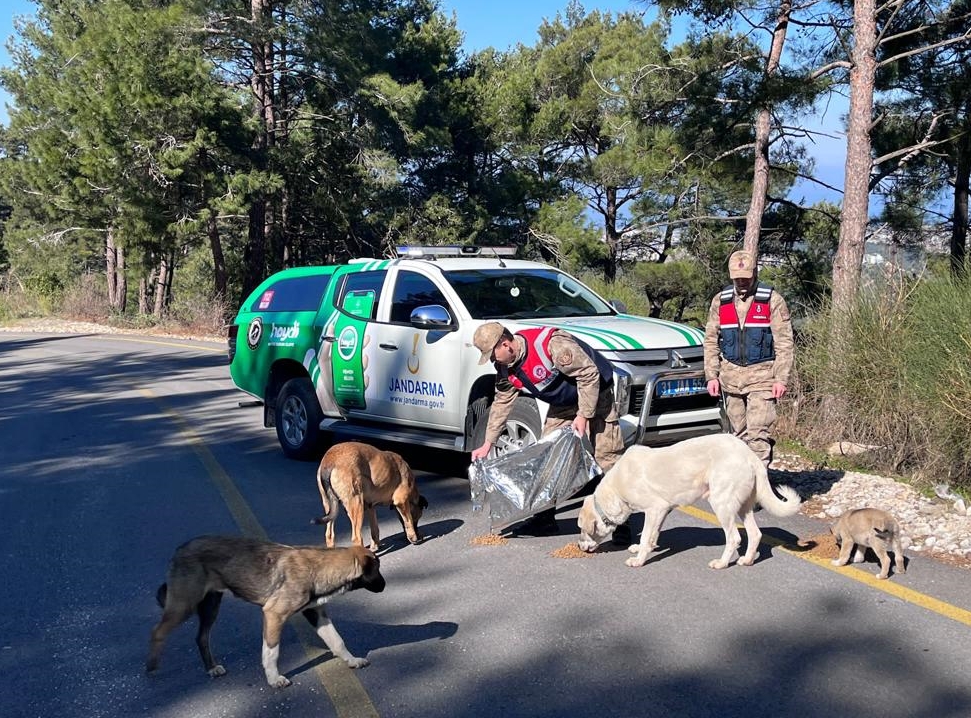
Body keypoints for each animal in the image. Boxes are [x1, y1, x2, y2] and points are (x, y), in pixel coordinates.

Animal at [148, 536, 384, 688]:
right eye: (378, 569)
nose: (384, 586)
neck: (320, 568)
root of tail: (179, 549)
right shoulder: (274, 614)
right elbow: (271, 651)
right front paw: (273, 679)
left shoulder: (316, 613)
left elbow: (337, 640)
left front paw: (352, 660)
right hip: (184, 604)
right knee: (157, 632)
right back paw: (152, 667)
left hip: (211, 605)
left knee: (201, 637)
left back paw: (212, 668)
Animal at [580, 436, 800, 572]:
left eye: (582, 529)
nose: (580, 547)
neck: (616, 488)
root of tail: (750, 455)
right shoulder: (663, 511)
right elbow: (652, 535)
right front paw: (645, 548)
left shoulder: (655, 508)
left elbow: (646, 536)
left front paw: (639, 559)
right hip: (743, 506)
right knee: (755, 534)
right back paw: (746, 560)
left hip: (721, 503)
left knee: (734, 538)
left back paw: (722, 563)